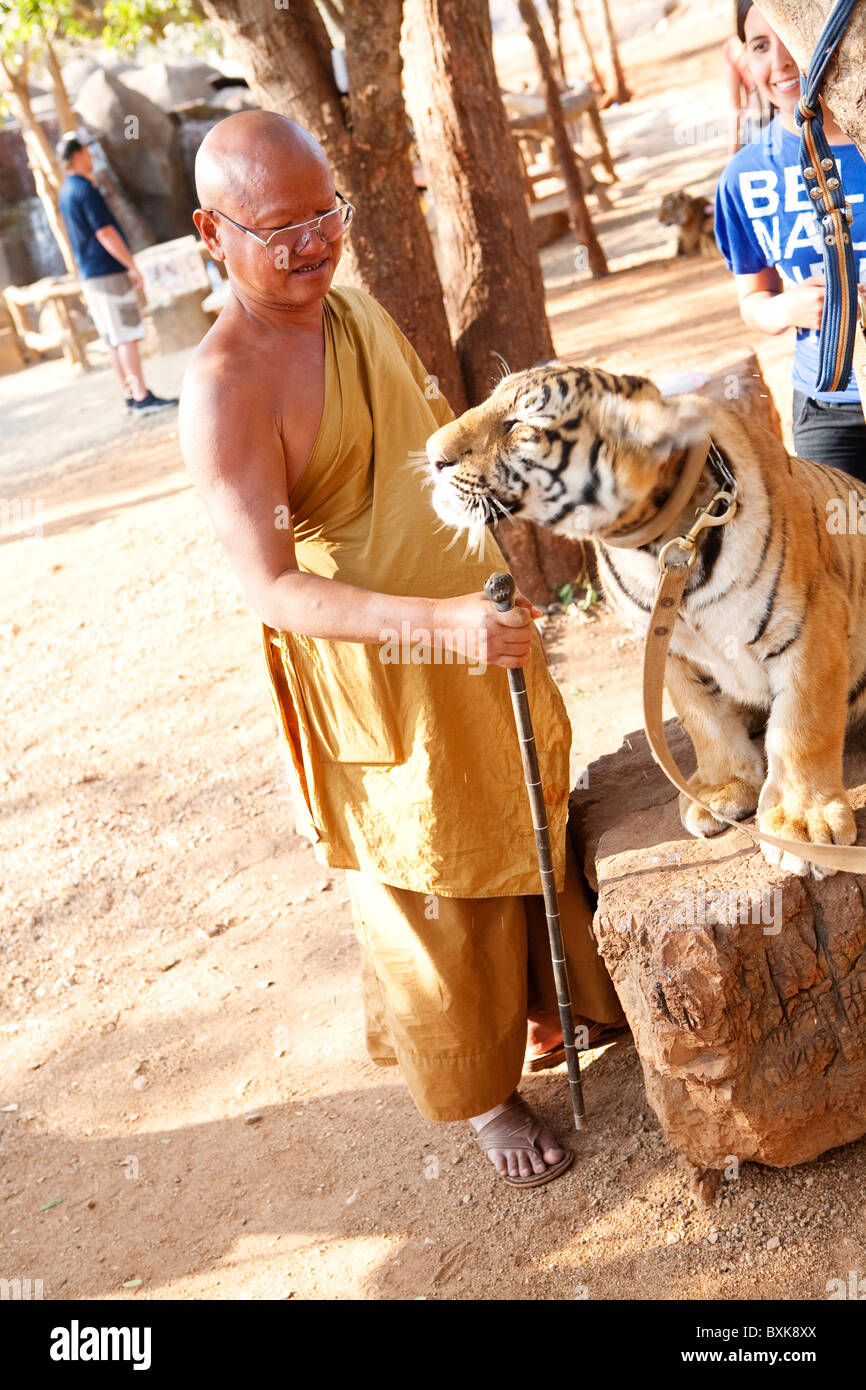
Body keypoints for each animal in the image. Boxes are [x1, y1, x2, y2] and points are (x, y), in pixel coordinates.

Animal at [425, 361, 866, 878]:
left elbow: (801, 727)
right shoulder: (668, 648)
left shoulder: (809, 626)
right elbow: (703, 719)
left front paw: (802, 825)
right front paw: (720, 788)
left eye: (521, 425)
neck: (653, 542)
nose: (432, 455)